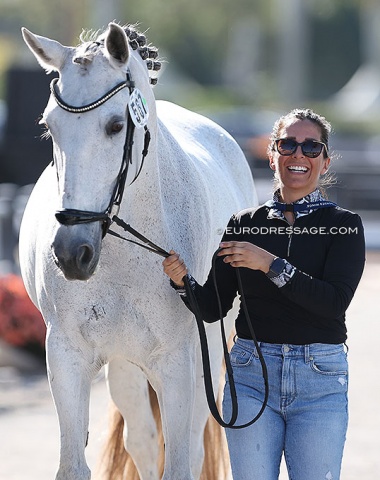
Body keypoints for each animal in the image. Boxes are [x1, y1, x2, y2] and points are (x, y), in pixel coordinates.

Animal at [19, 20, 256, 478]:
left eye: (115, 125)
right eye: (49, 127)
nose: (71, 254)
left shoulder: (179, 364)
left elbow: (180, 462)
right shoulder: (67, 357)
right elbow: (73, 464)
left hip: (208, 351)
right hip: (126, 364)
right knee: (143, 443)